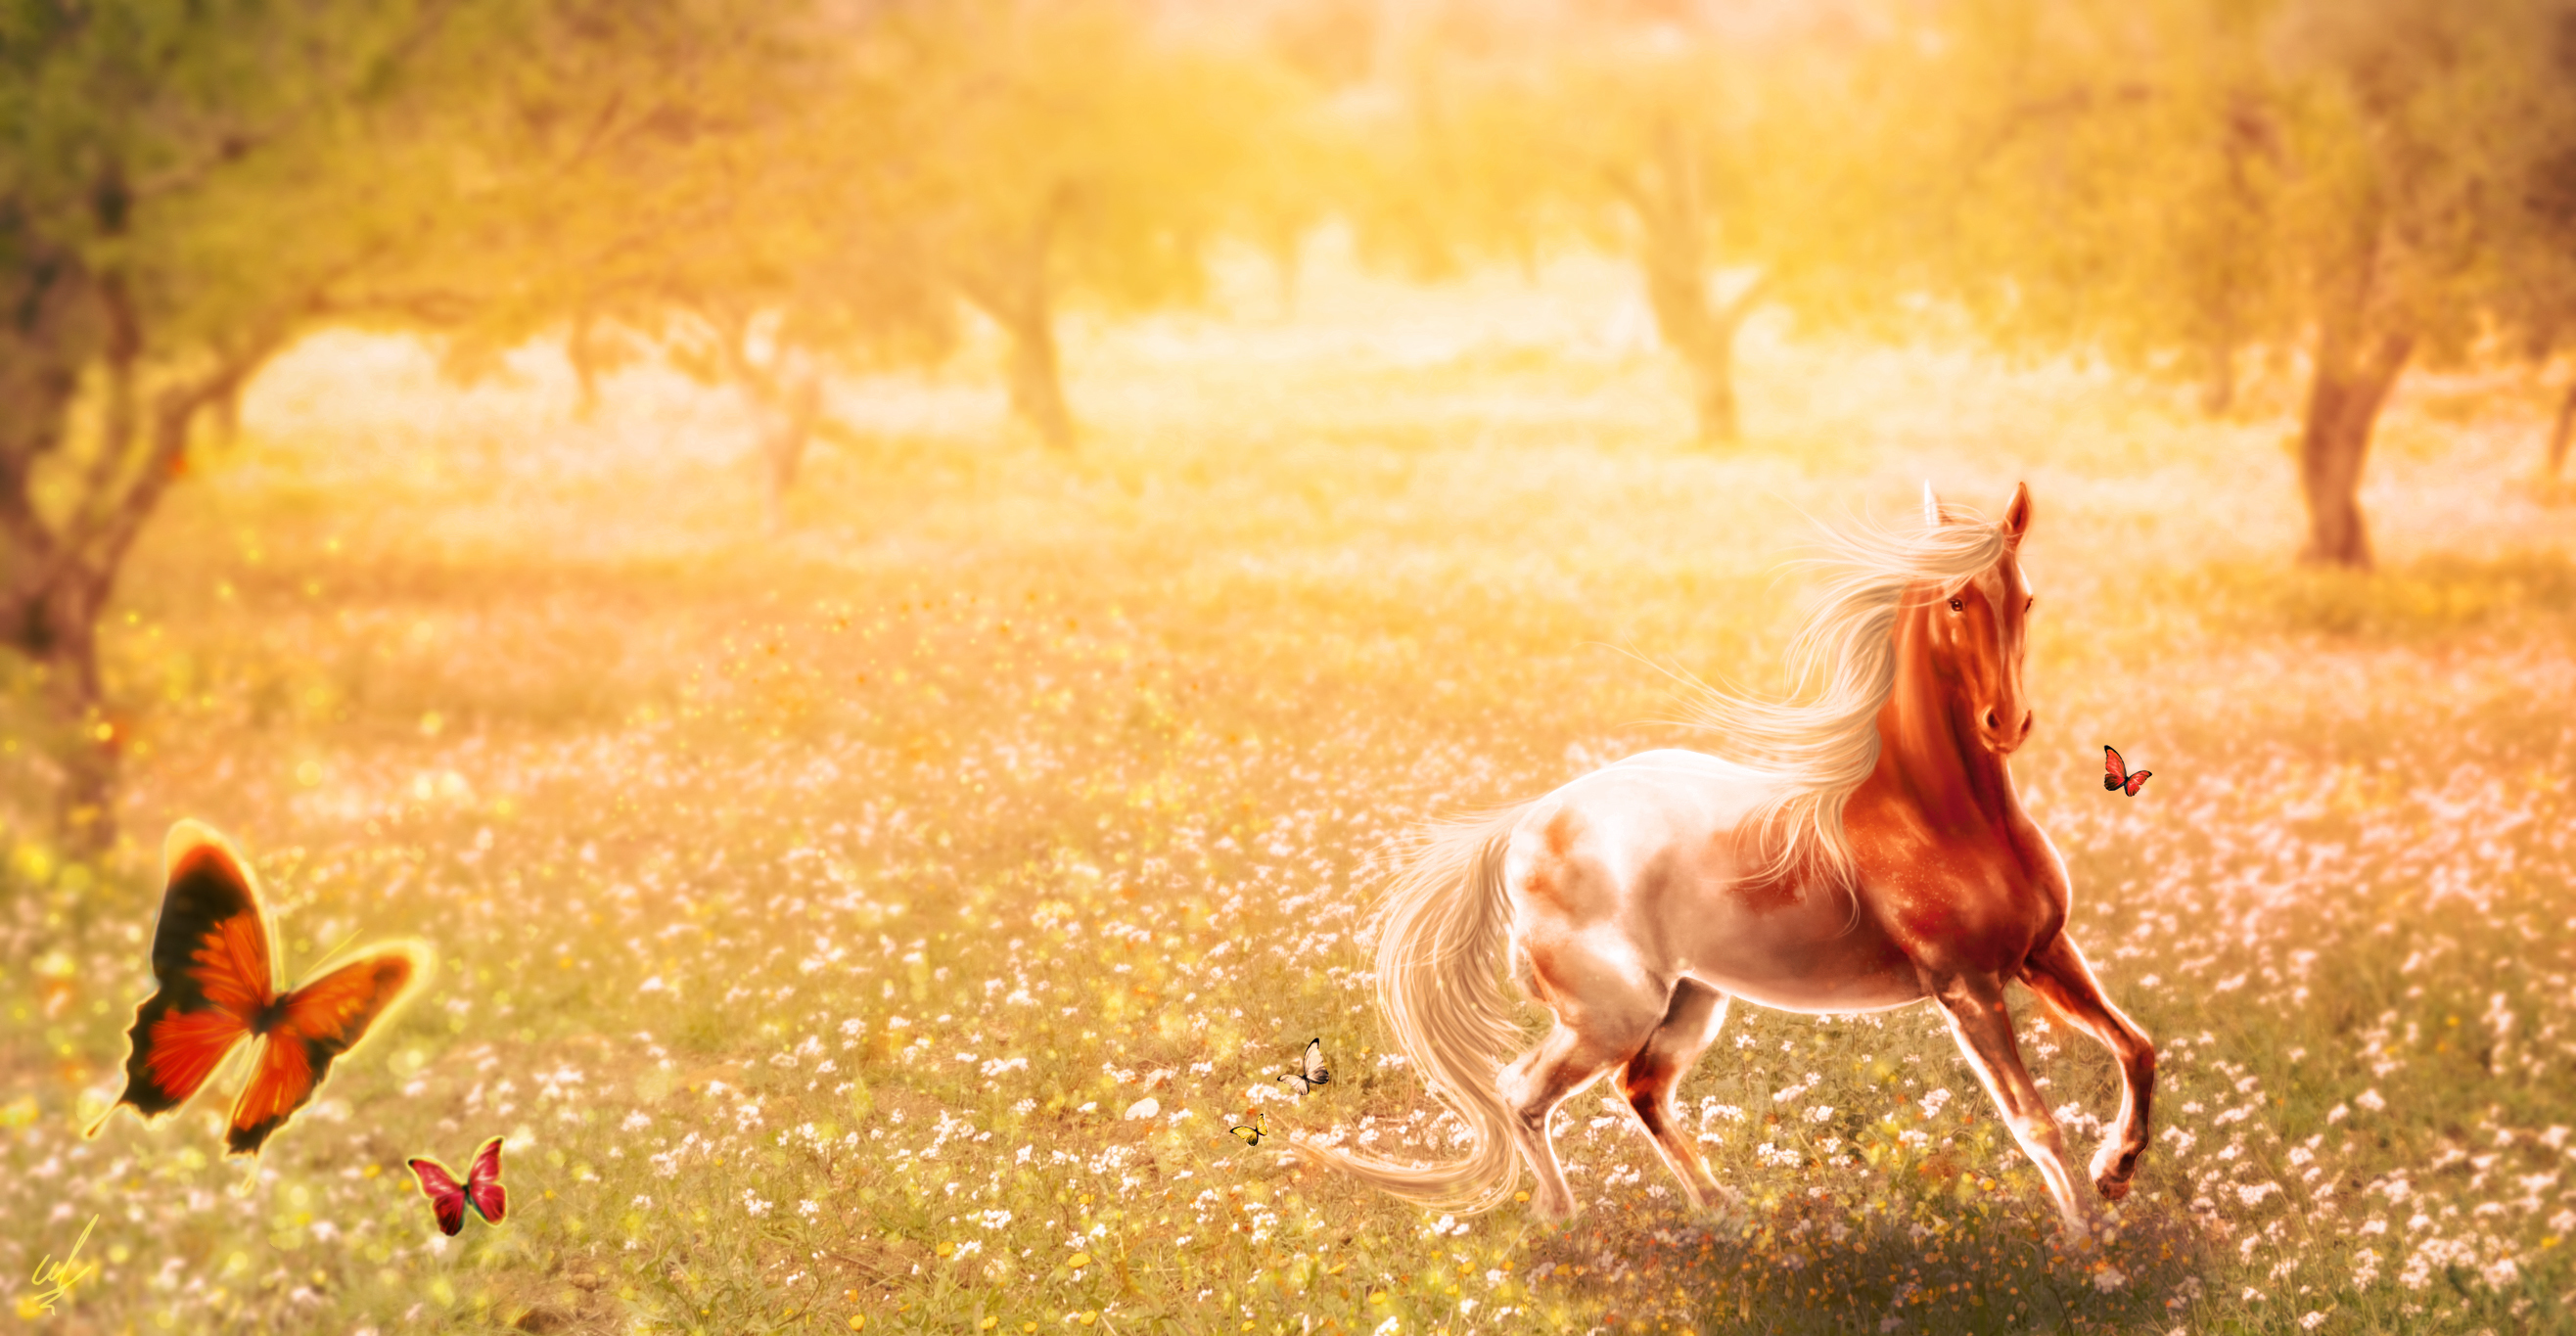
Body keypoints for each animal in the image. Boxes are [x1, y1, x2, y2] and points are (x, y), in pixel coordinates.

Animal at [1290, 483, 2154, 1231]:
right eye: (1955, 600)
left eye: (2027, 598)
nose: (2007, 721)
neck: (1942, 817)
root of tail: (1527, 820)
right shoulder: (1967, 987)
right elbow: (2036, 1121)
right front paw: (2089, 1246)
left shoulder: (2046, 952)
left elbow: (2138, 1047)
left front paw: (2116, 1172)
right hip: (1613, 1012)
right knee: (1522, 1088)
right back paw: (1564, 1223)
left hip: (1688, 1001)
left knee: (1637, 1090)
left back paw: (1722, 1210)